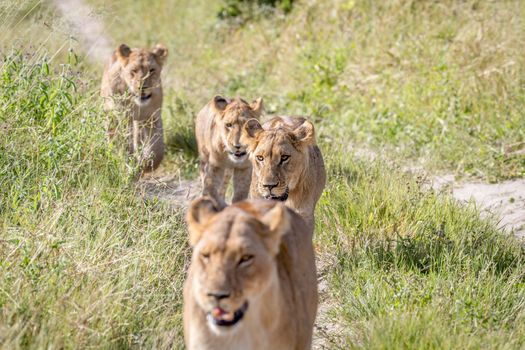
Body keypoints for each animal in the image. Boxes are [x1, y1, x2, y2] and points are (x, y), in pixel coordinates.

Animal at [100, 43, 168, 173]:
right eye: (133, 71)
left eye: (151, 70)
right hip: (110, 115)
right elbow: (125, 145)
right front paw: (131, 165)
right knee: (112, 136)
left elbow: (157, 149)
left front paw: (147, 165)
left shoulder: (152, 118)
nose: (142, 87)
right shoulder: (124, 119)